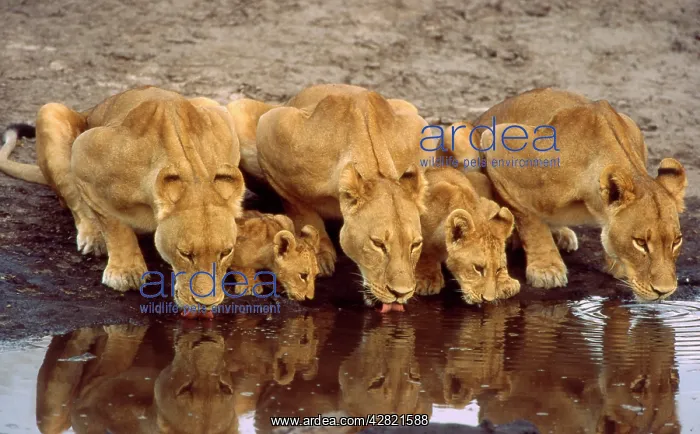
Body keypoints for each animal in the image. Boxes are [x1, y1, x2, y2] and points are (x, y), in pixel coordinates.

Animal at [0, 86, 247, 315]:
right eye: (185, 254)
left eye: (226, 252)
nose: (207, 304)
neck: (191, 170)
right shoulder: (84, 152)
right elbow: (112, 222)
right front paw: (125, 273)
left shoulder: (224, 124)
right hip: (50, 112)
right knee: (73, 198)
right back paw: (93, 238)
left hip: (210, 102)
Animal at [227, 84, 436, 311]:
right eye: (378, 244)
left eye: (415, 244)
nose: (401, 293)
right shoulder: (272, 130)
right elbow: (302, 210)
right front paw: (319, 254)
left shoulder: (420, 130)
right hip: (240, 112)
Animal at [416, 167, 520, 304]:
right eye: (478, 268)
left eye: (498, 270)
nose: (487, 300)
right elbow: (425, 251)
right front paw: (427, 279)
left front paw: (506, 283)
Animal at [445, 88, 686, 300]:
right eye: (640, 243)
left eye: (676, 241)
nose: (664, 291)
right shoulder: (499, 145)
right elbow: (531, 220)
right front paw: (546, 269)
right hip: (459, 133)